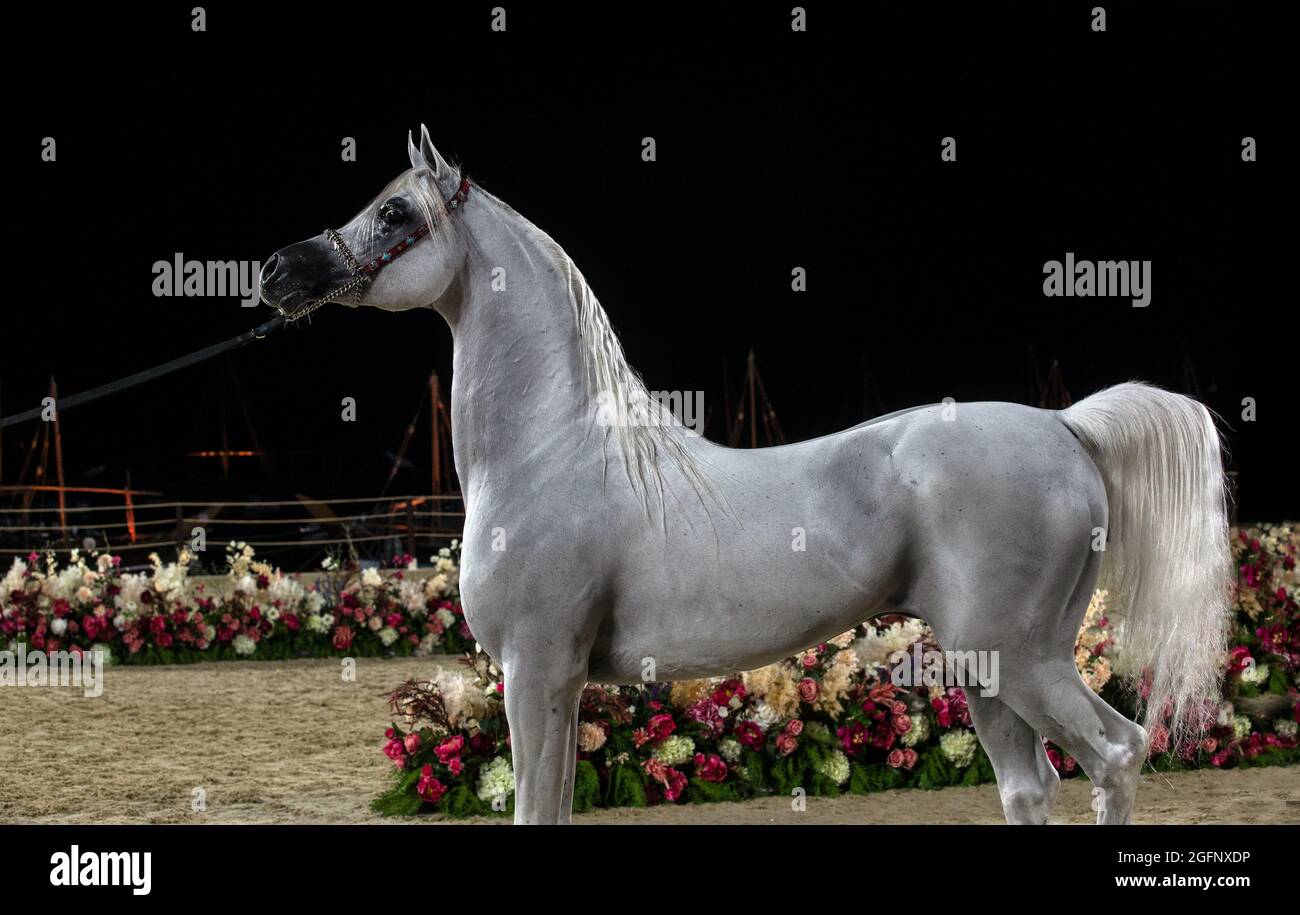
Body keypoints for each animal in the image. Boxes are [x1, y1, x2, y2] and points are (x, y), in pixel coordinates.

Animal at [259, 126, 1232, 824]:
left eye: (395, 213)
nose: (276, 269)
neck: (553, 450)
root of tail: (1067, 424)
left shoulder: (536, 670)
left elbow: (535, 811)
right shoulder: (562, 683)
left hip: (1024, 660)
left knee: (1116, 754)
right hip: (987, 666)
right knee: (1032, 787)